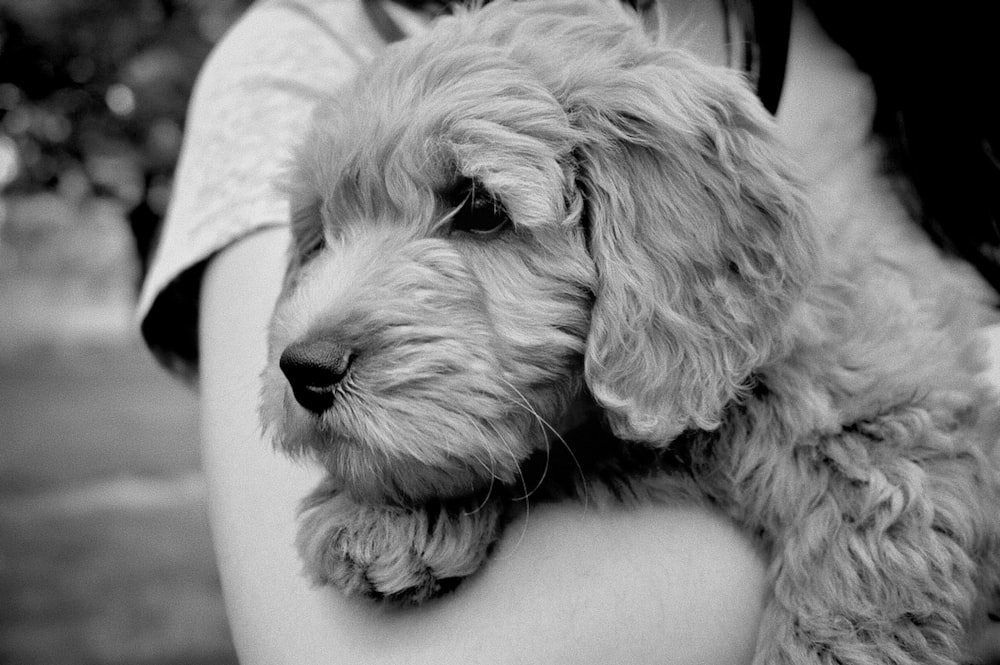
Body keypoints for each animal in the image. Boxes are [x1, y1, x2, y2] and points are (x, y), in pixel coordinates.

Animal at [258, 2, 1000, 660]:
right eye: (324, 235)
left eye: (479, 206)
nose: (305, 367)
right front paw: (382, 513)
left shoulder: (891, 436)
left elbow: (852, 598)